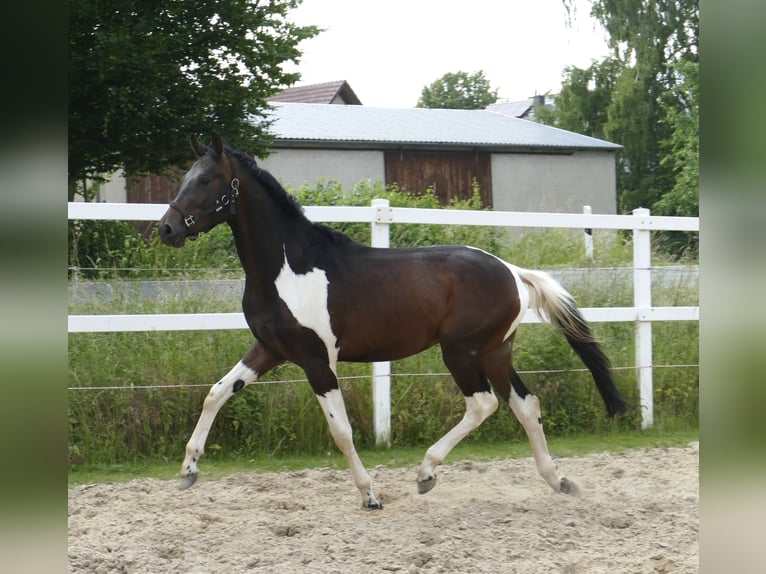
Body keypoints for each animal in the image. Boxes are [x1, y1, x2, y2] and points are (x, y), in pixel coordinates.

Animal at [158, 133, 630, 509]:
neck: (287, 268)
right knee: (525, 404)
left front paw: (370, 495)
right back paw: (559, 481)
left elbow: (341, 430)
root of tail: (514, 272)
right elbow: (216, 394)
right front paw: (188, 471)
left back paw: (426, 474)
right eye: (185, 177)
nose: (166, 229)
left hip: (461, 351)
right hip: (495, 351)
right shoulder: (269, 349)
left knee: (484, 403)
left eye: (205, 179)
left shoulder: (316, 360)